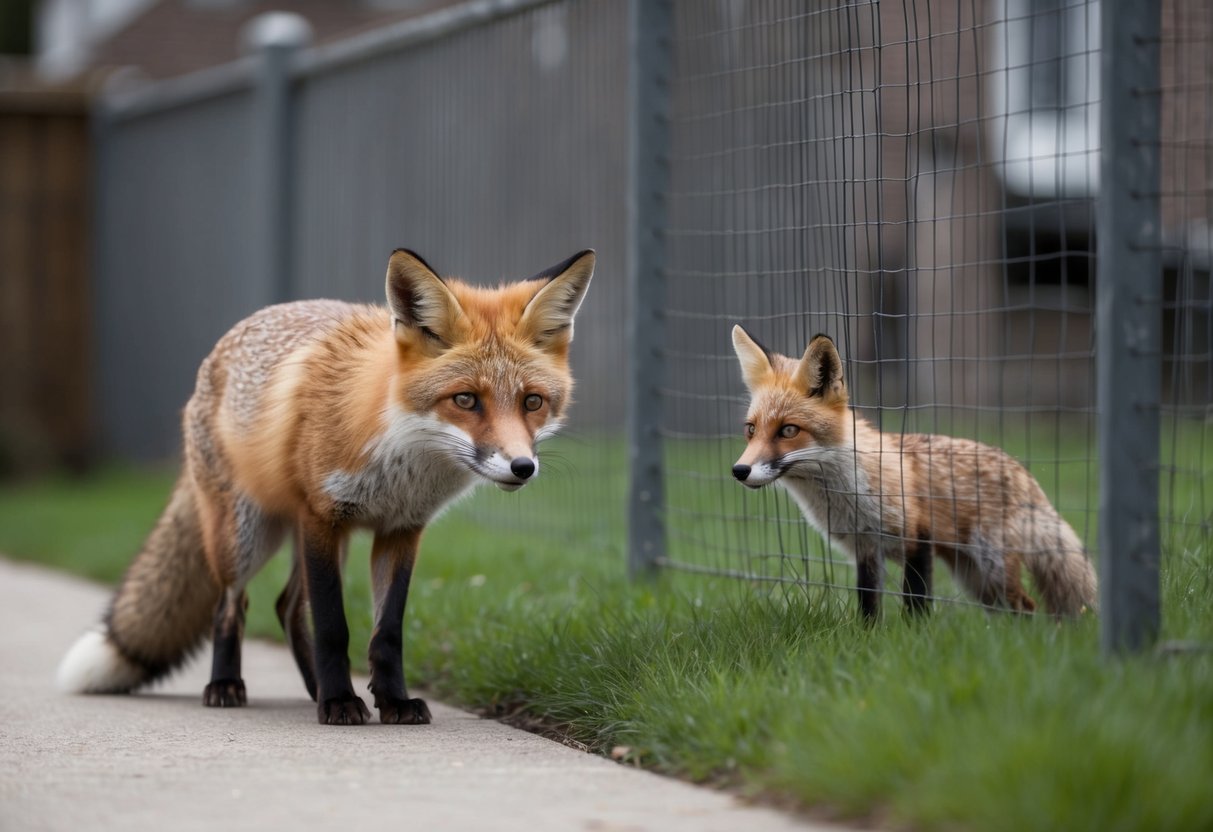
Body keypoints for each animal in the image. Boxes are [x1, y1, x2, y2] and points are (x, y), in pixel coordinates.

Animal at [57, 248, 595, 725]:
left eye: (532, 402)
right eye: (465, 399)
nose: (522, 467)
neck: (399, 459)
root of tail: (220, 348)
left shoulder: (401, 530)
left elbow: (386, 632)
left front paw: (392, 702)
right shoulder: (322, 518)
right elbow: (334, 625)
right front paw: (339, 704)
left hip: (316, 539)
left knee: (287, 606)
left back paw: (314, 687)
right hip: (248, 536)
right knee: (232, 605)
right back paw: (228, 685)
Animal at [729, 326, 1097, 620]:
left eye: (789, 430)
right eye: (751, 429)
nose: (739, 470)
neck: (846, 496)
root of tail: (1022, 472)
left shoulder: (918, 537)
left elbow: (915, 603)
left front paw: (916, 638)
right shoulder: (866, 549)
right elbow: (868, 606)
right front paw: (869, 639)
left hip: (992, 565)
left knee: (1028, 607)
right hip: (975, 578)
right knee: (1009, 611)